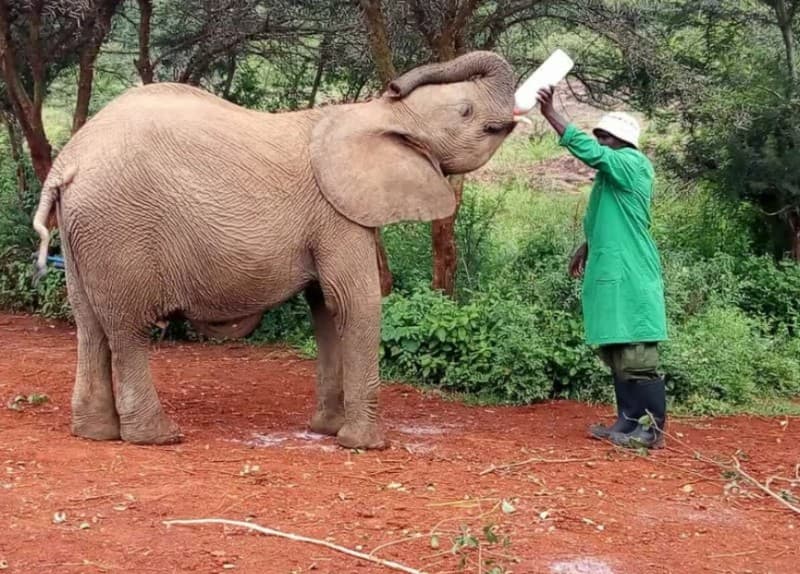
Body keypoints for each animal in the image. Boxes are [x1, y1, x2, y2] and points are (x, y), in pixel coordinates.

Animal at [32, 50, 519, 450]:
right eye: (466, 111)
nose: (395, 83)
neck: (373, 114)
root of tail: (66, 163)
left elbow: (325, 308)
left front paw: (327, 430)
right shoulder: (336, 214)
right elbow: (355, 303)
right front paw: (365, 445)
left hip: (84, 233)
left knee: (89, 324)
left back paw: (95, 433)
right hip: (119, 229)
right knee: (127, 330)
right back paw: (158, 437)